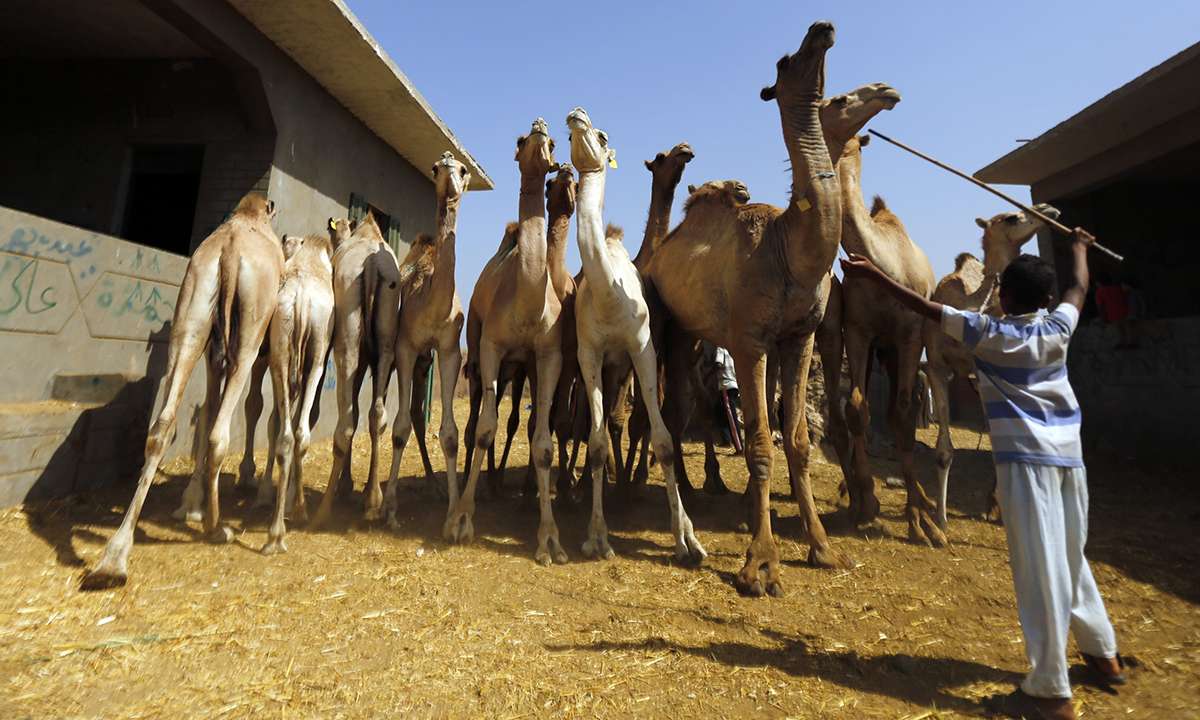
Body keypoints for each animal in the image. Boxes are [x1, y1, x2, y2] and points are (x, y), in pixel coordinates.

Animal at [82, 193, 284, 588]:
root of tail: (229, 253)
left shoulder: (211, 348)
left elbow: (205, 409)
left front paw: (190, 503)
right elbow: (231, 410)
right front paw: (202, 504)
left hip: (191, 316)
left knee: (162, 425)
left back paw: (113, 560)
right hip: (247, 333)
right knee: (220, 431)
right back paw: (217, 528)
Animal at [309, 212, 400, 527]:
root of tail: (371, 266)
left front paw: (344, 486)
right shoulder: (366, 359)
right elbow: (362, 410)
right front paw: (350, 486)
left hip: (346, 339)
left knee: (346, 423)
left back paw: (323, 510)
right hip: (386, 337)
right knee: (376, 415)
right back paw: (372, 500)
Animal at [566, 107, 705, 562]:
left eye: (603, 135)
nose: (576, 115)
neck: (609, 293)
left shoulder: (642, 349)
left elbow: (661, 438)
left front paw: (686, 539)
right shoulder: (590, 355)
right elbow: (595, 441)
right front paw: (597, 536)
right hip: (607, 369)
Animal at [646, 21, 847, 597]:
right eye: (783, 63)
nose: (821, 29)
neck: (789, 249)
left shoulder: (799, 336)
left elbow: (797, 440)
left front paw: (822, 547)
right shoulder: (749, 340)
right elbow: (759, 443)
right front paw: (760, 567)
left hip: (695, 334)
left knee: (683, 404)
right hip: (669, 325)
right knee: (674, 406)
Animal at [924, 203, 1061, 527]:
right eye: (1012, 217)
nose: (1048, 209)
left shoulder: (983, 370)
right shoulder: (937, 367)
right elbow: (943, 450)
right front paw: (941, 519)